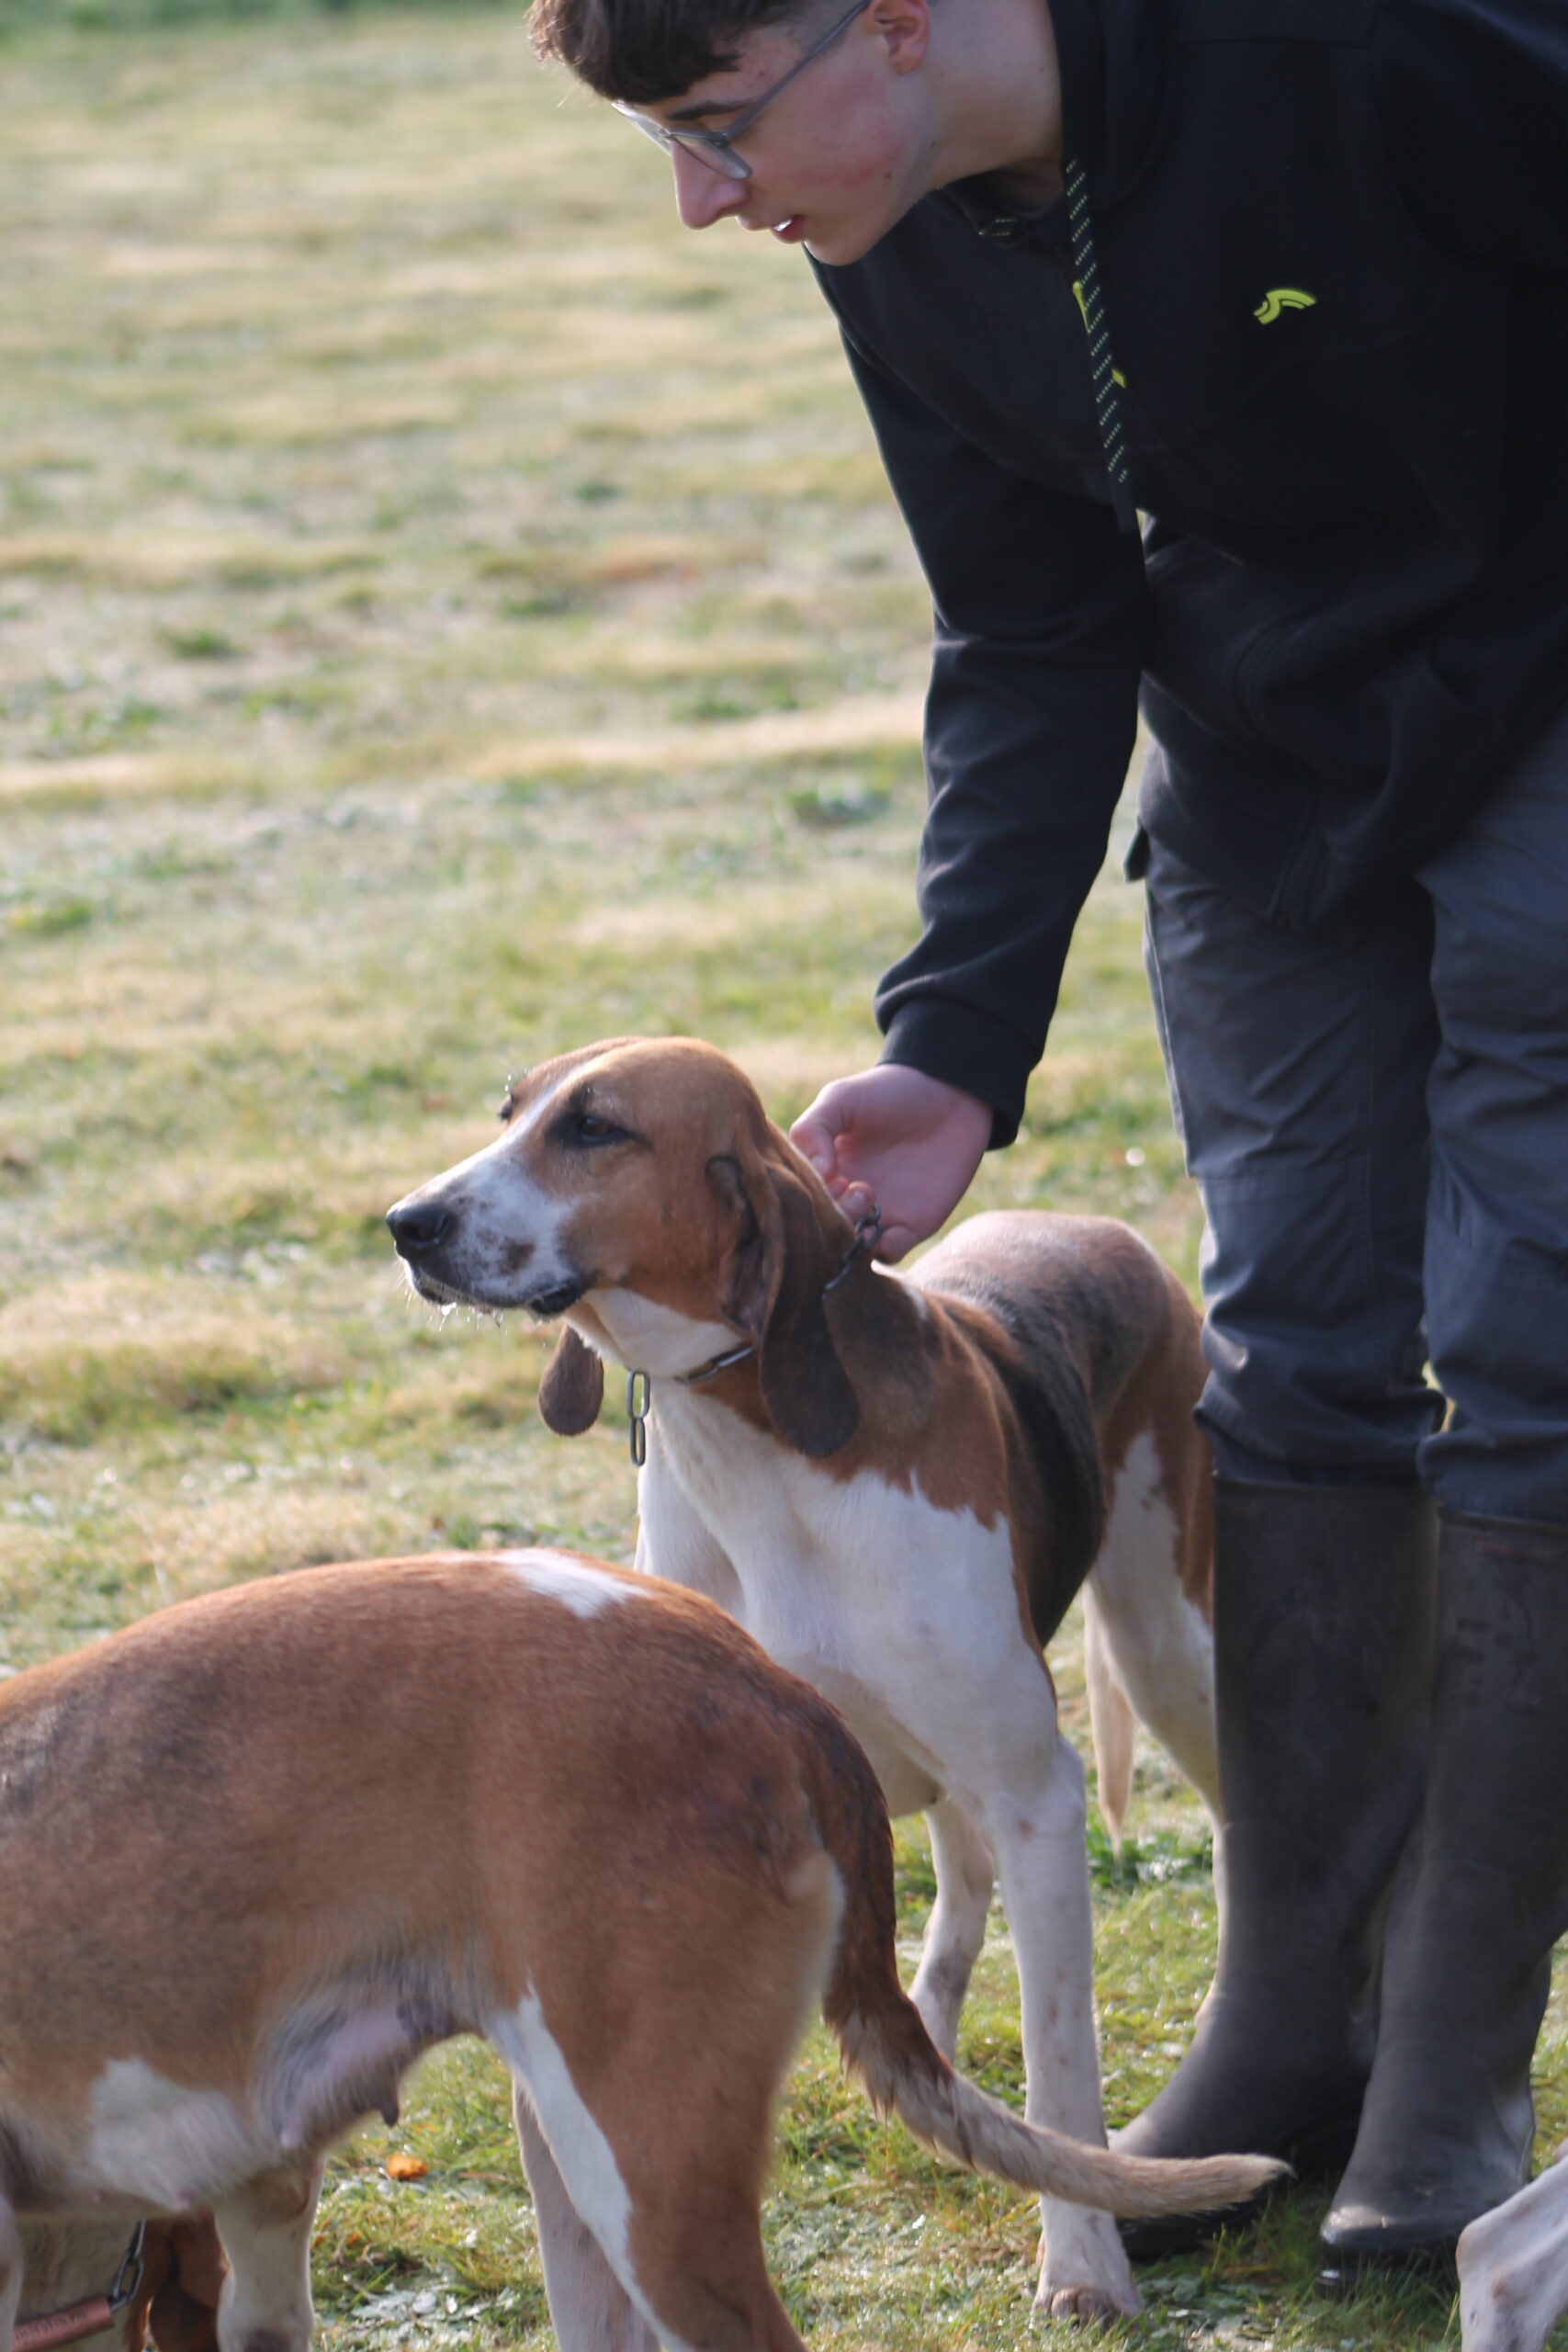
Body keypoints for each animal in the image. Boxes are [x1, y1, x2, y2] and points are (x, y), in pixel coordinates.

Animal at [387, 1035, 1226, 2321]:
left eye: (596, 1128)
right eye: (510, 1110)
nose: (407, 1223)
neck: (758, 1452)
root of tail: (1097, 1225)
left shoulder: (1036, 1789)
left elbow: (1060, 2057)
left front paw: (1085, 2261)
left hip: (1162, 1651)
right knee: (950, 1888)